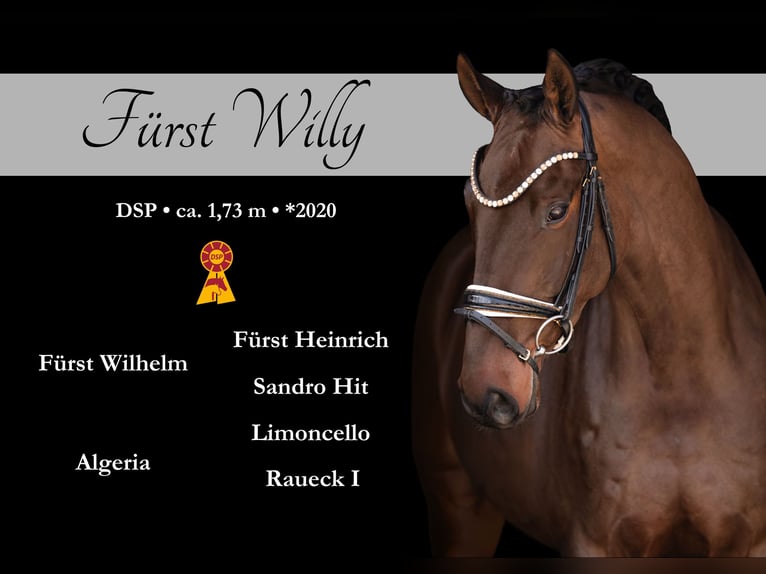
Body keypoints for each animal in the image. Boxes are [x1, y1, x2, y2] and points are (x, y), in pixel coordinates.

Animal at [411, 49, 766, 557]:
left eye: (557, 211)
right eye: (469, 206)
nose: (486, 393)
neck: (681, 381)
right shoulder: (593, 544)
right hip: (458, 506)